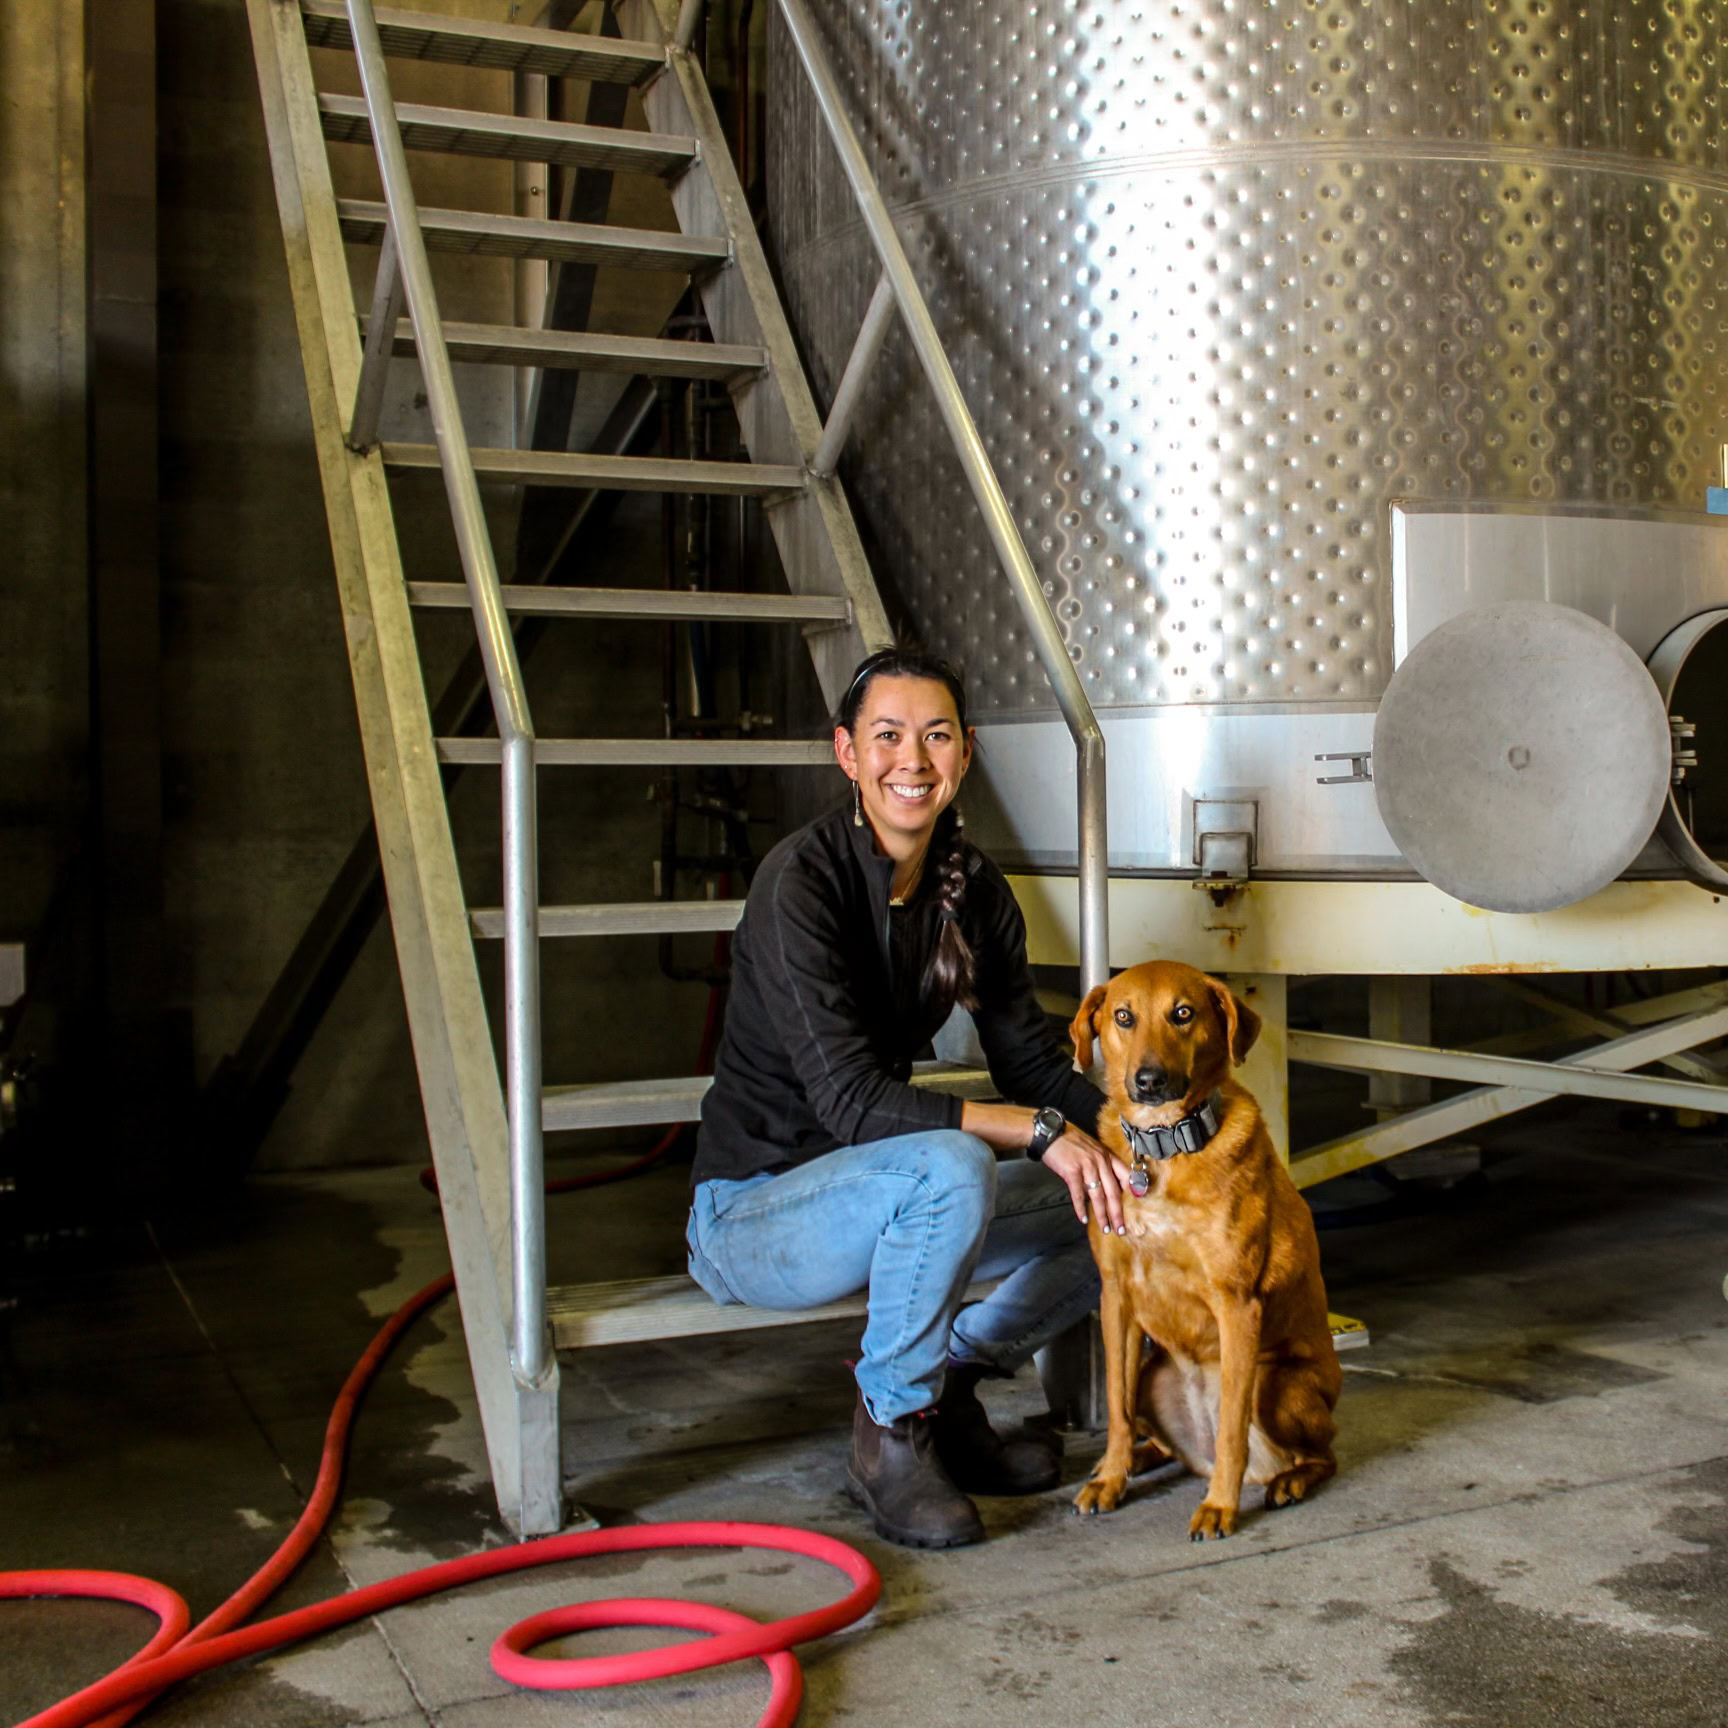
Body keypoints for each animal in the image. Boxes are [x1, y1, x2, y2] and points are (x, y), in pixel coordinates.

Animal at [1071, 960, 1340, 1541]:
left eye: (1183, 1014)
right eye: (1123, 1017)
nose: (1149, 1081)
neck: (1163, 1150)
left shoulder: (1236, 1304)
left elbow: (1231, 1432)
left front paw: (1220, 1506)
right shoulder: (1116, 1297)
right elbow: (1117, 1410)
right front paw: (1112, 1478)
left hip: (1275, 1383)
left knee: (1319, 1454)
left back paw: (1287, 1480)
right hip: (1153, 1372)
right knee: (1154, 1433)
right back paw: (1126, 1462)